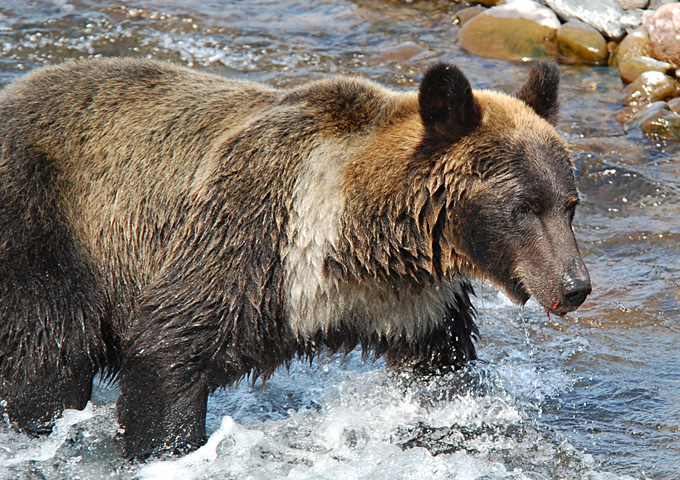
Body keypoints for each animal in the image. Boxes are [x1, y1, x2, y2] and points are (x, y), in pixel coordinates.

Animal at [0, 56, 588, 458]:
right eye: (524, 206)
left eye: (569, 204)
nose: (574, 285)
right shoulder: (256, 242)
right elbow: (168, 349)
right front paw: (165, 447)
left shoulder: (413, 305)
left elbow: (441, 374)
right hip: (44, 231)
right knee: (49, 355)